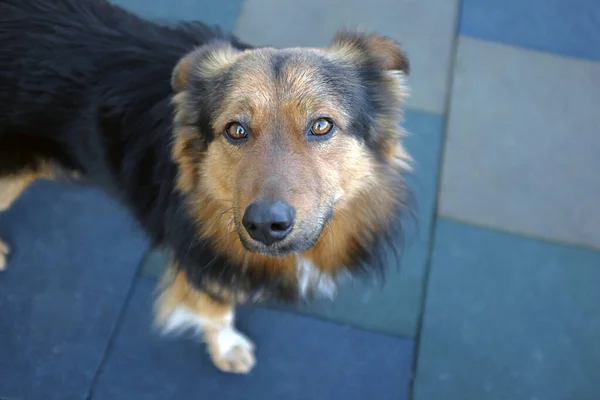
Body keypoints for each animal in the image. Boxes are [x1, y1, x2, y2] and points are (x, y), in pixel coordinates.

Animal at [0, 0, 412, 374]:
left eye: (322, 125)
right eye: (236, 130)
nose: (265, 225)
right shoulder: (200, 265)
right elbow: (216, 314)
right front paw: (227, 349)